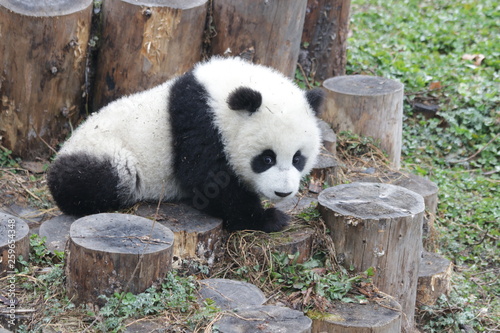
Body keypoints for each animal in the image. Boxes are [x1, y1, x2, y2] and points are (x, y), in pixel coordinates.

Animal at [47, 56, 324, 231]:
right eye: (266, 158)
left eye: (298, 159)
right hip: (105, 152)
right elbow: (207, 182)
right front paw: (268, 218)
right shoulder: (200, 123)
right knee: (97, 180)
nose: (283, 193)